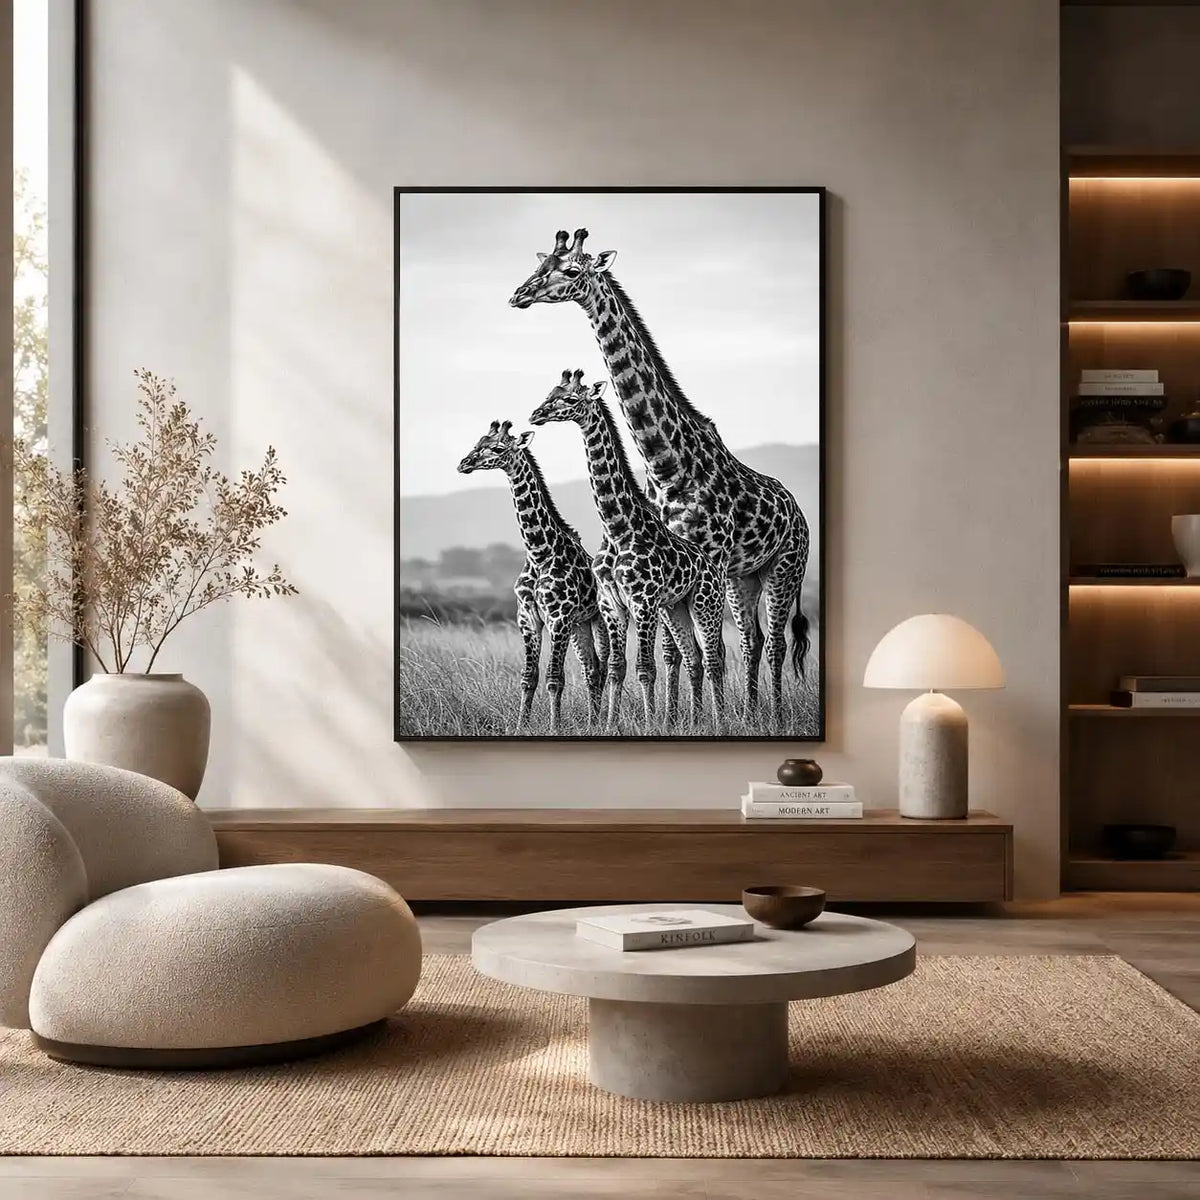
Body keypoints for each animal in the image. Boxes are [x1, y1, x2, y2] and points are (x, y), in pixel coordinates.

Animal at [457, 420, 607, 733]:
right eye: (477, 443)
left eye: (497, 448)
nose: (464, 463)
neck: (539, 552)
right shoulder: (527, 618)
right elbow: (529, 678)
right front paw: (520, 726)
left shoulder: (558, 618)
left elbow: (554, 679)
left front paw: (554, 727)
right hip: (580, 625)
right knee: (592, 668)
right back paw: (592, 722)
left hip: (598, 620)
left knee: (603, 666)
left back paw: (597, 722)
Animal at [530, 369, 726, 729]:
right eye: (550, 393)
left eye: (571, 399)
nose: (536, 415)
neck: (617, 527)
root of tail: (713, 566)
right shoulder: (611, 604)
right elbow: (615, 668)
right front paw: (609, 723)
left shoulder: (643, 601)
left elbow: (645, 668)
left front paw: (650, 723)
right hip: (675, 607)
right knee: (694, 658)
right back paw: (696, 721)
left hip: (705, 602)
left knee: (713, 658)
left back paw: (720, 721)